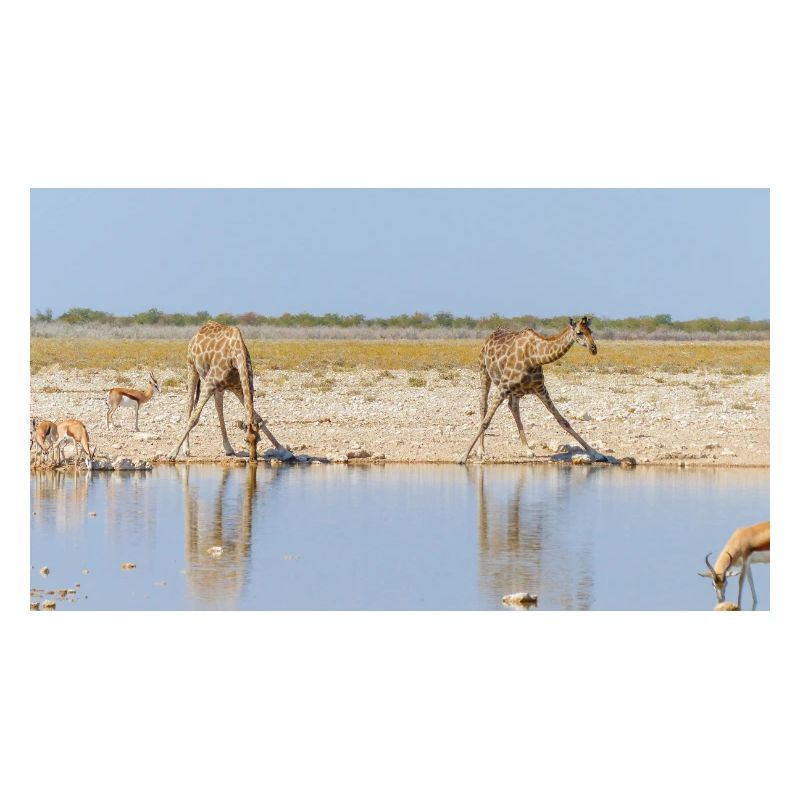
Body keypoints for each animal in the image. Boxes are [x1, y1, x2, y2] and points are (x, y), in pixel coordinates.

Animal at [168, 321, 285, 462]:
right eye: (245, 440)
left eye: (258, 440)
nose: (253, 459)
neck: (236, 356)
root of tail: (198, 332)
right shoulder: (209, 383)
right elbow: (194, 418)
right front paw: (172, 453)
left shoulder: (239, 388)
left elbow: (258, 417)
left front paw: (282, 449)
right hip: (192, 367)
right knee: (189, 406)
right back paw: (186, 449)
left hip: (220, 388)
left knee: (219, 408)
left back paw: (228, 448)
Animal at [458, 316, 608, 464]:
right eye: (579, 333)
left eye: (591, 331)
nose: (593, 349)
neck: (535, 357)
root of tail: (491, 335)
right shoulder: (503, 387)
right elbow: (486, 422)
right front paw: (463, 456)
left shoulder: (541, 389)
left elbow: (563, 421)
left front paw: (597, 454)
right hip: (484, 372)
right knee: (483, 406)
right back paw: (481, 450)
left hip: (516, 391)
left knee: (513, 407)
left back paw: (527, 449)